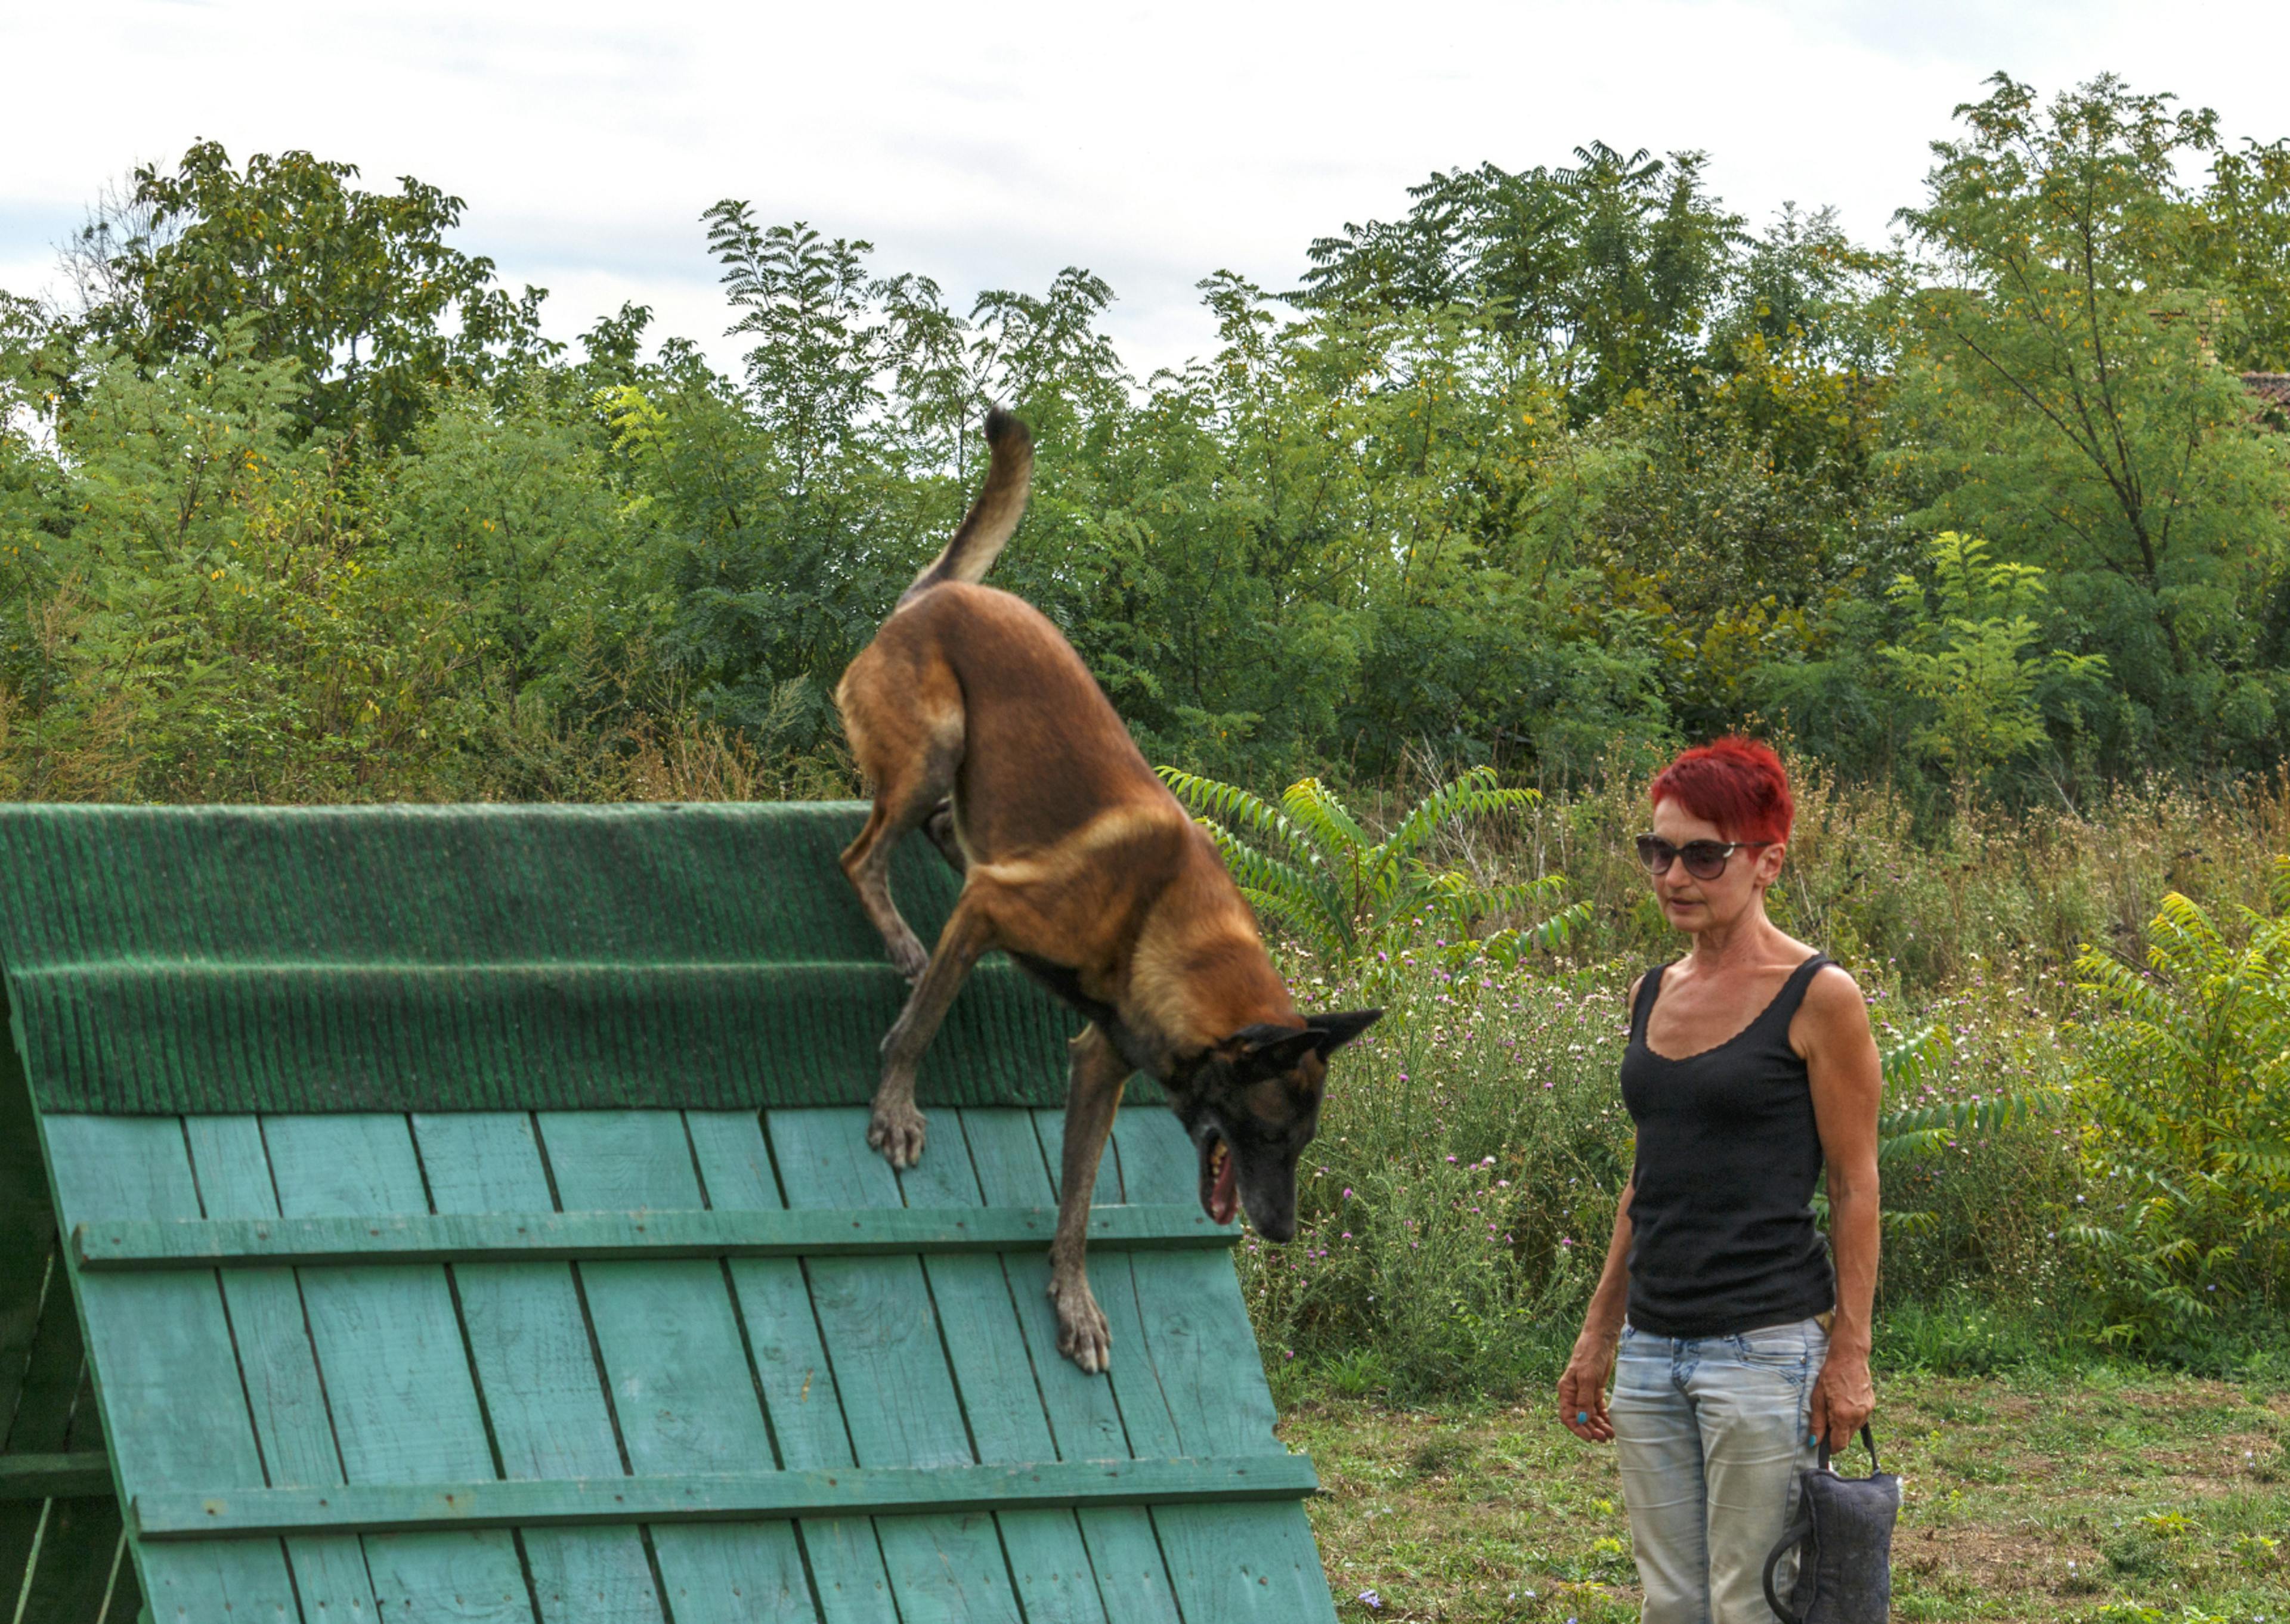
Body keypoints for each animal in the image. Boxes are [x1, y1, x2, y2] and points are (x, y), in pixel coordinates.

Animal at [838, 405, 1374, 1365]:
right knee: (863, 857)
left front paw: (1074, 1301)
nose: (1280, 1233)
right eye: (1271, 1135)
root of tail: (937, 593)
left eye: (1305, 1144)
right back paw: (901, 938)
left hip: (961, 782)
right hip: (935, 745)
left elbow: (1080, 1199)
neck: (1158, 923)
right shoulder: (994, 914)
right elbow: (920, 1027)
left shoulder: (1101, 1064)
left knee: (936, 835)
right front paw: (896, 1109)